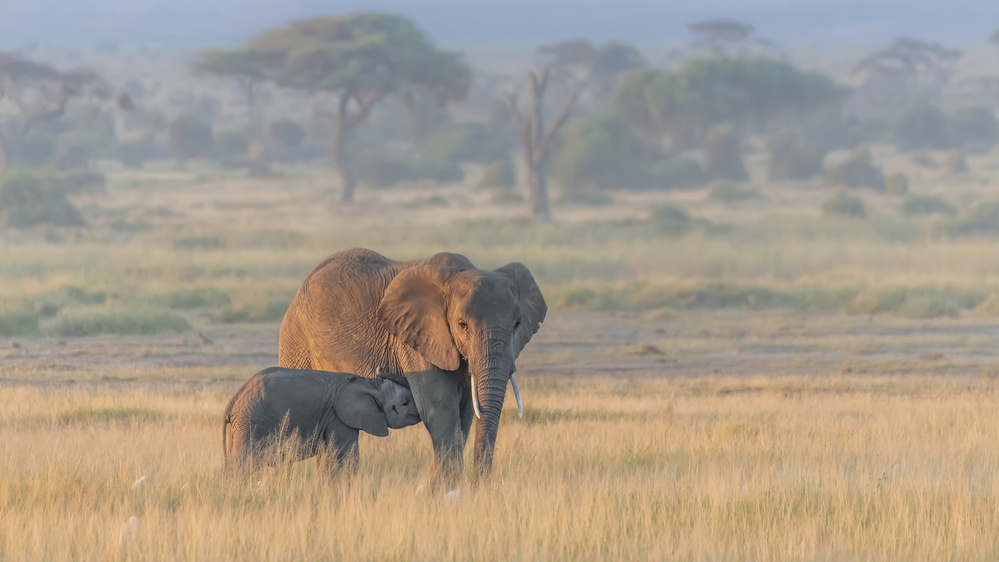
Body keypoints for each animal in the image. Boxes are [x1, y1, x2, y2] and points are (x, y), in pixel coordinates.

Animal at [221, 368, 420, 476]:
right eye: (406, 402)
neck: (370, 385)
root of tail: (232, 403)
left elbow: (328, 457)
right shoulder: (338, 418)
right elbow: (347, 456)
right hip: (252, 423)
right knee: (242, 465)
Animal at [280, 247, 548, 488]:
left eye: (517, 324)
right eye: (462, 325)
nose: (480, 486)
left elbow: (465, 413)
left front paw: (436, 489)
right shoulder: (416, 338)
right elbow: (440, 407)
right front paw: (444, 489)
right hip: (295, 340)